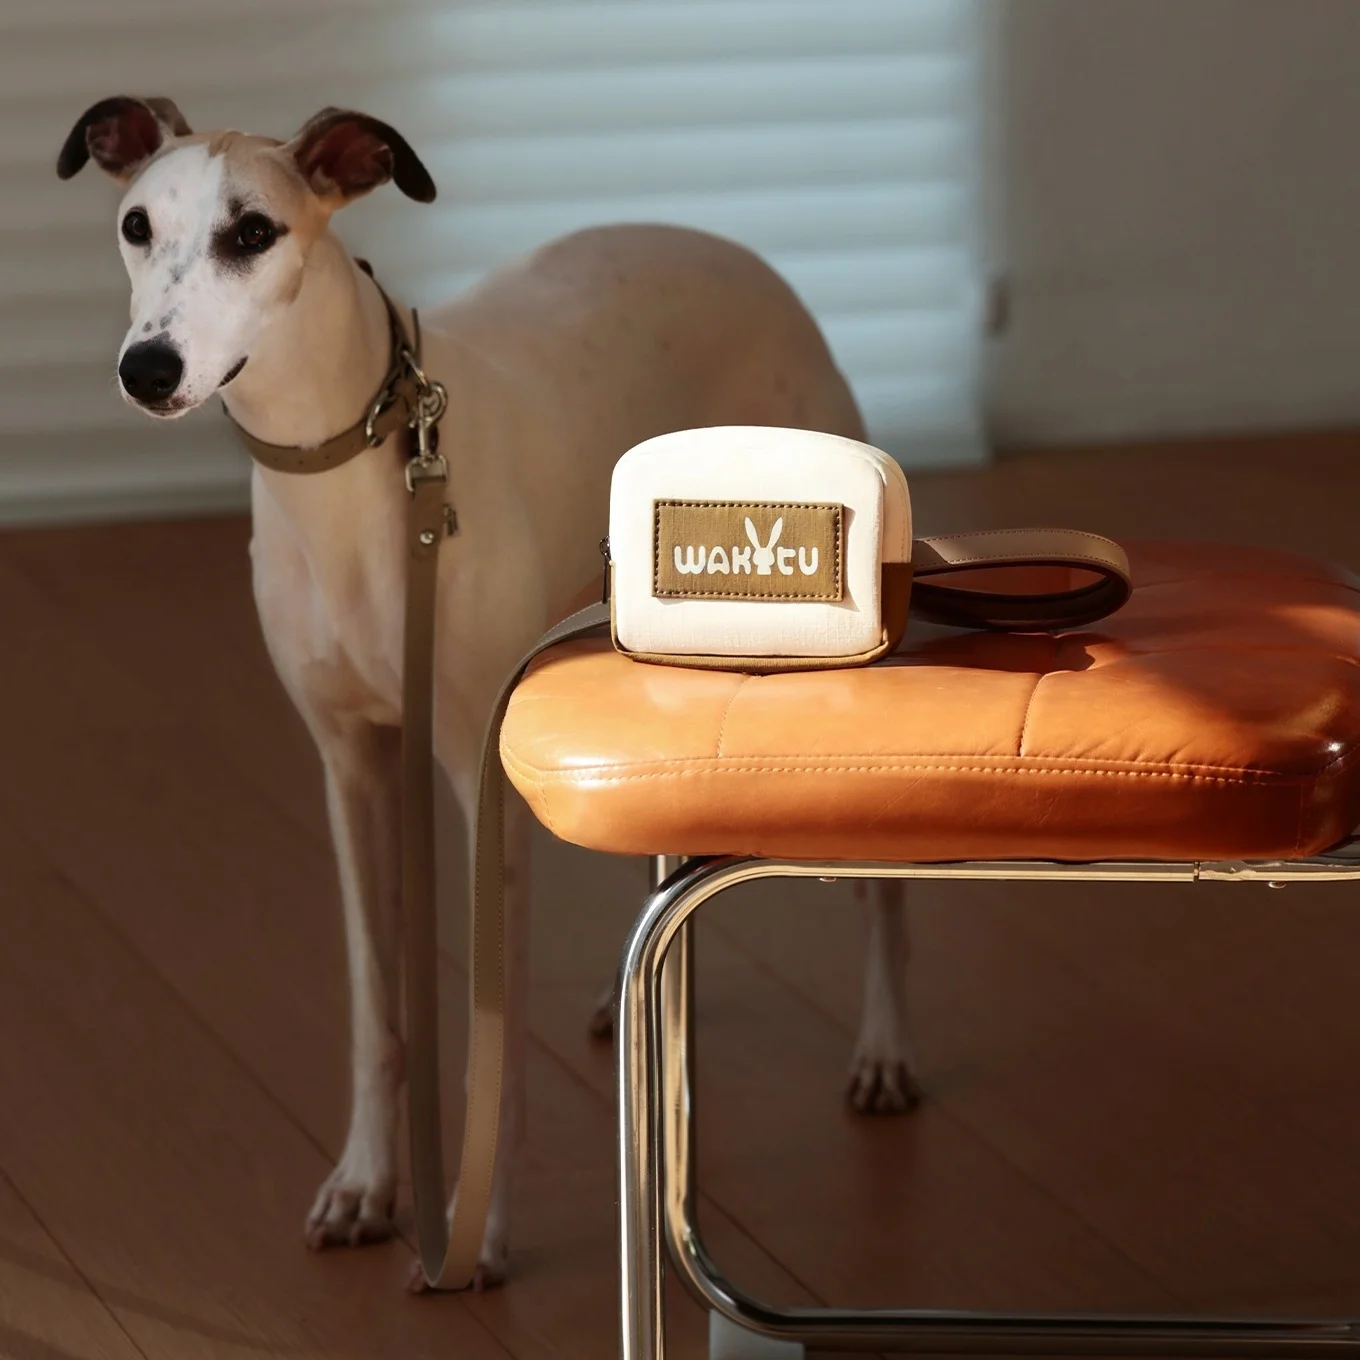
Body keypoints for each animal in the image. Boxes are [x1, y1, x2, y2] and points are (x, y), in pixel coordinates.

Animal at [58, 95, 920, 1289]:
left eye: (253, 232)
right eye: (136, 225)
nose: (148, 367)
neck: (358, 470)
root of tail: (735, 252)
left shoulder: (483, 787)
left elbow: (495, 1037)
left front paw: (482, 1227)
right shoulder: (351, 766)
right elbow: (378, 1010)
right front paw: (368, 1184)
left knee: (880, 881)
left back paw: (883, 1051)